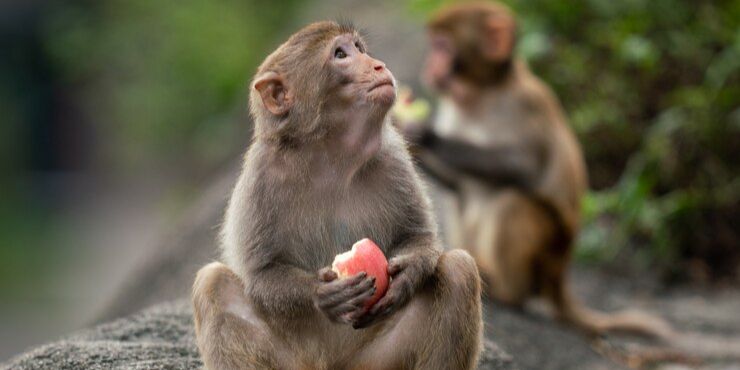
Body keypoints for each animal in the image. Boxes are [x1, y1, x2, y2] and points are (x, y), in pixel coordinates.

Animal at [189, 21, 486, 370]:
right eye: (340, 55)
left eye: (359, 48)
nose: (378, 65)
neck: (330, 157)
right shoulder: (259, 179)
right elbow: (262, 273)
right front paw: (321, 293)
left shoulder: (393, 157)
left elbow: (419, 235)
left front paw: (407, 273)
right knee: (213, 283)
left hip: (376, 361)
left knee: (458, 269)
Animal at [396, 0, 672, 342]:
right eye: (434, 44)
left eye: (443, 47)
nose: (430, 64)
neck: (480, 94)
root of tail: (560, 273)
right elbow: (456, 184)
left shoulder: (525, 103)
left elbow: (524, 165)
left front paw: (424, 134)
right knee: (461, 198)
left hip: (547, 251)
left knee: (514, 200)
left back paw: (504, 290)